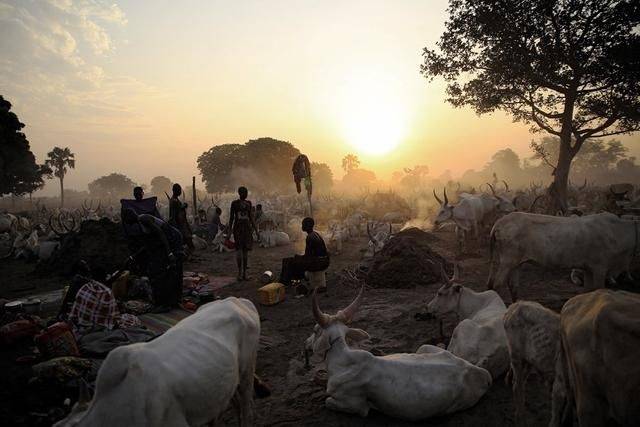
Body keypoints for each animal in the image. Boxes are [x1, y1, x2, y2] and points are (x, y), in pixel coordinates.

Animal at [308, 288, 492, 422]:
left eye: (315, 330)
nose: (307, 343)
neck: (342, 360)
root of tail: (482, 373)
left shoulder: (355, 405)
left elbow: (328, 401)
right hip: (424, 348)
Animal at [488, 211, 636, 300]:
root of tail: (499, 222)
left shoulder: (588, 268)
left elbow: (587, 291)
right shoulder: (600, 267)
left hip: (517, 262)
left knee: (513, 286)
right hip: (508, 261)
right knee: (497, 284)